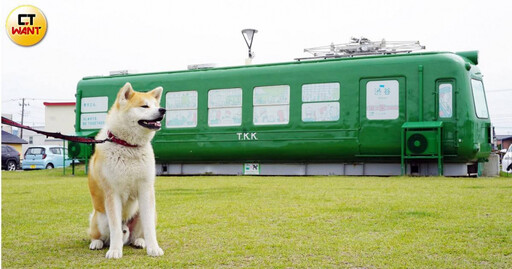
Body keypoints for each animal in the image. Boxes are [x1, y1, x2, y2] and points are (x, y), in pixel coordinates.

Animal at [87, 82, 165, 258]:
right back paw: (97, 243)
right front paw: (115, 251)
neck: (128, 146)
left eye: (156, 105)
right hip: (100, 217)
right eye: (144, 106)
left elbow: (150, 228)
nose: (163, 110)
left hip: (142, 213)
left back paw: (140, 242)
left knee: (134, 236)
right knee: (100, 236)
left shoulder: (146, 189)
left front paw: (153, 248)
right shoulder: (112, 193)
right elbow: (115, 229)